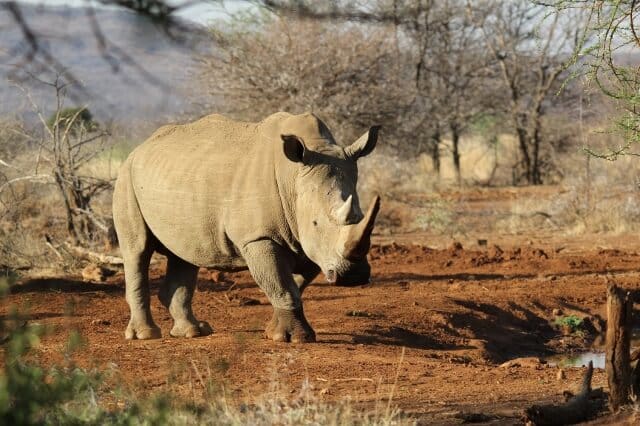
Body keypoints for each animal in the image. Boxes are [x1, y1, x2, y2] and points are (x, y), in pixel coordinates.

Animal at [112, 112, 380, 343]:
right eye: (316, 222)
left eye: (360, 216)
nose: (353, 276)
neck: (294, 177)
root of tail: (140, 147)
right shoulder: (259, 237)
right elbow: (282, 284)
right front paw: (295, 338)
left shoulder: (310, 243)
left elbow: (291, 283)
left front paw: (273, 331)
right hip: (126, 177)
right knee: (137, 251)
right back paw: (145, 335)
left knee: (184, 254)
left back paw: (193, 331)